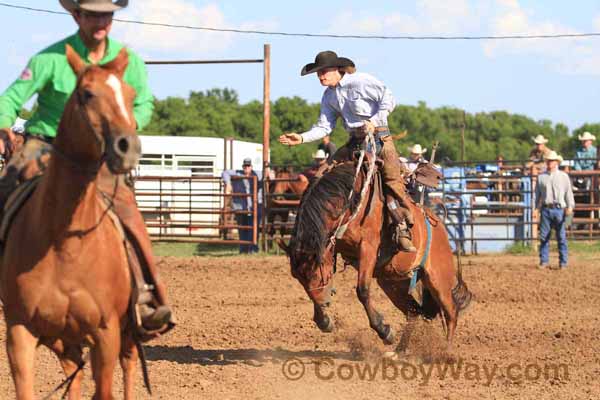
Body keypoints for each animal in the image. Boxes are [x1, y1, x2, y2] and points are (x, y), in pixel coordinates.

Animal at [0, 45, 144, 398]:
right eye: (87, 93)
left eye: (131, 95)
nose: (128, 146)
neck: (65, 243)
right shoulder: (20, 331)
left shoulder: (106, 332)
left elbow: (105, 389)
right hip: (62, 337)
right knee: (74, 372)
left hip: (126, 333)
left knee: (128, 365)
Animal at [278, 159, 472, 354]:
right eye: (298, 277)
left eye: (315, 272)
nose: (324, 304)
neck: (350, 201)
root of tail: (437, 223)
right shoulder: (333, 247)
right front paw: (324, 321)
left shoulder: (368, 248)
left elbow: (362, 290)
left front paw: (384, 331)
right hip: (393, 283)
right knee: (414, 312)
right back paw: (399, 352)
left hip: (438, 279)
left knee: (451, 311)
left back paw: (446, 352)